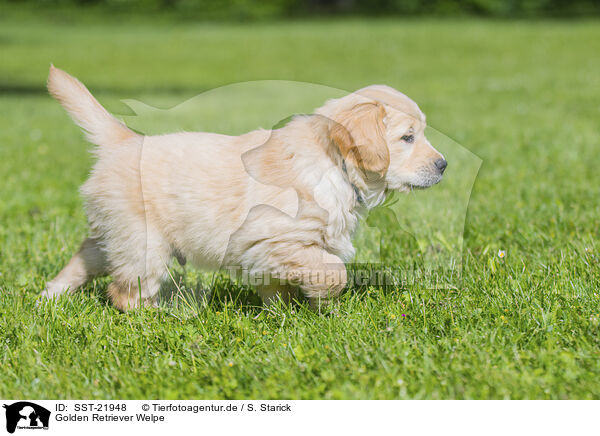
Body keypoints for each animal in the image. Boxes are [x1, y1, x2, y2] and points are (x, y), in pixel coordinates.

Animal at [42, 64, 446, 310]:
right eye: (408, 137)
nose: (443, 164)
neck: (333, 162)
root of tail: (126, 140)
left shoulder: (272, 251)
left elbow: (278, 285)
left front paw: (284, 313)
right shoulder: (275, 239)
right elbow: (334, 272)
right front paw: (321, 301)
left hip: (116, 232)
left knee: (86, 257)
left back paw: (49, 296)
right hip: (144, 243)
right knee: (125, 292)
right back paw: (155, 315)